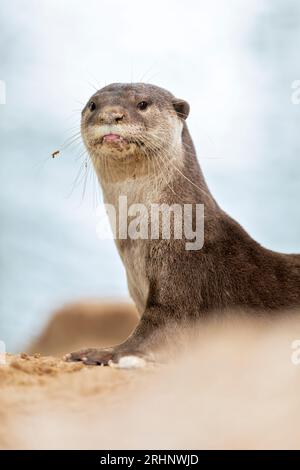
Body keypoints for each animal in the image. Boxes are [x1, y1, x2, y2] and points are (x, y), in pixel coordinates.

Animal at [65, 82, 300, 366]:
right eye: (93, 105)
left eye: (142, 104)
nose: (110, 115)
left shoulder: (182, 272)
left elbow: (161, 326)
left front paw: (102, 352)